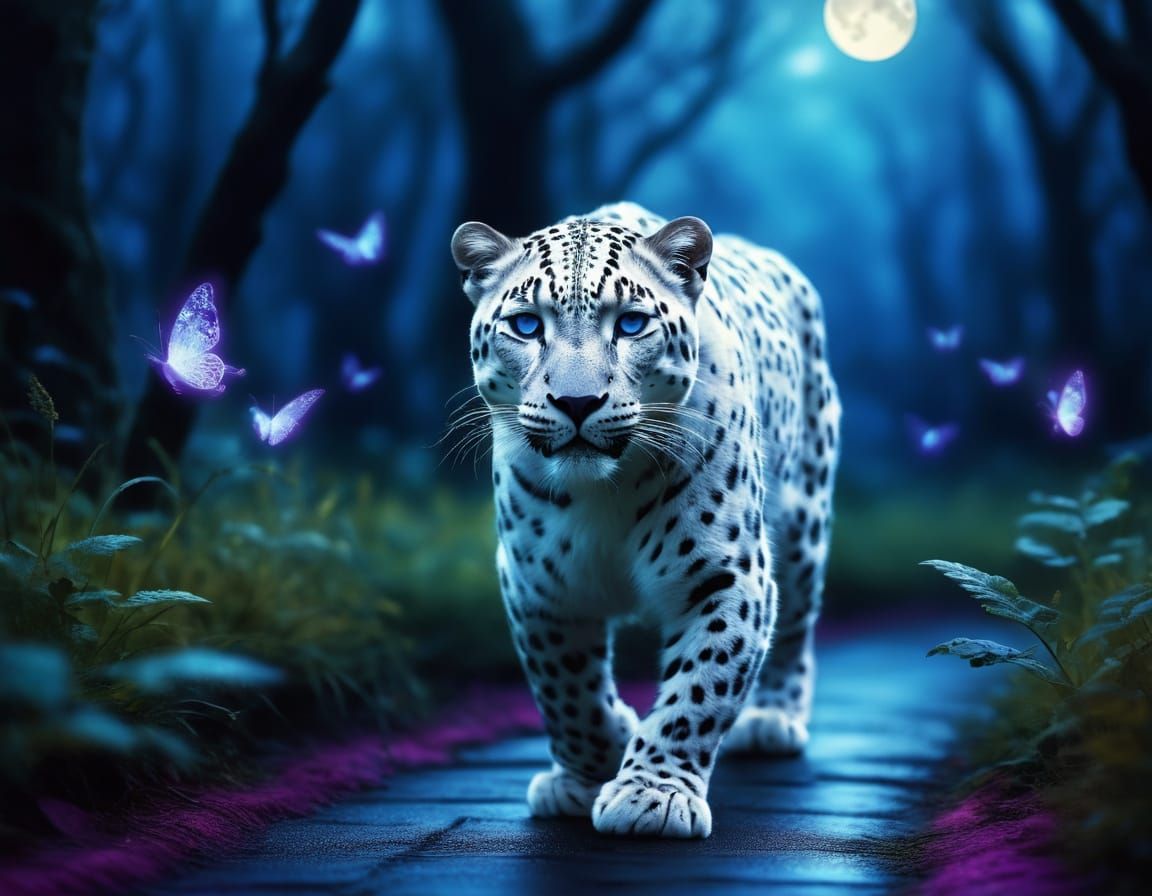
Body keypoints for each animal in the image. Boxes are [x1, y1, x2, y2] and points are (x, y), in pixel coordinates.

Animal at [449, 202, 840, 838]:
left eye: (631, 325)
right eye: (527, 326)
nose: (577, 402)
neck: (601, 493)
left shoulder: (727, 575)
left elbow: (700, 687)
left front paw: (652, 795)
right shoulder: (537, 585)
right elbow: (565, 687)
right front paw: (589, 769)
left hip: (805, 522)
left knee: (797, 625)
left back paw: (771, 719)